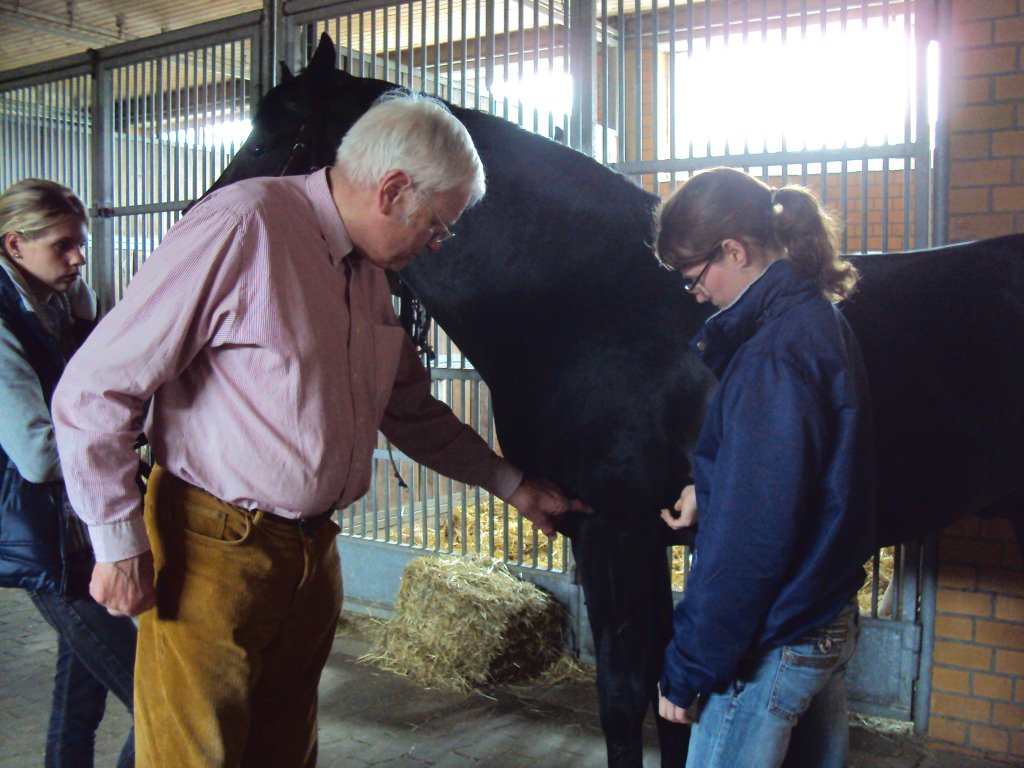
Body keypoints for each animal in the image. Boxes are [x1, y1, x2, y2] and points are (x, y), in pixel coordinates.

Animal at [204, 33, 1024, 767]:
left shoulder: (620, 532)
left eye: (267, 139)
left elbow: (631, 697)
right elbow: (660, 703)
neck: (592, 302)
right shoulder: (622, 532)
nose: (201, 224)